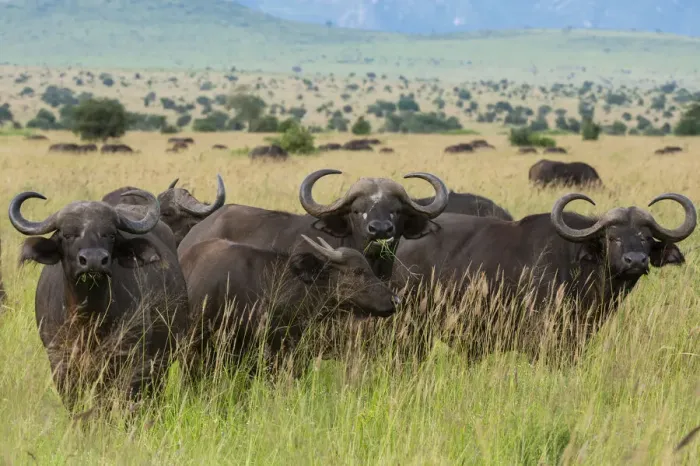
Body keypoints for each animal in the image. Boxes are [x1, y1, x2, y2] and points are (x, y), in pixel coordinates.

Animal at [9, 190, 190, 409]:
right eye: (67, 235)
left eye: (110, 234)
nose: (94, 260)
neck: (88, 319)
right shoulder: (60, 360)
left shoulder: (127, 360)